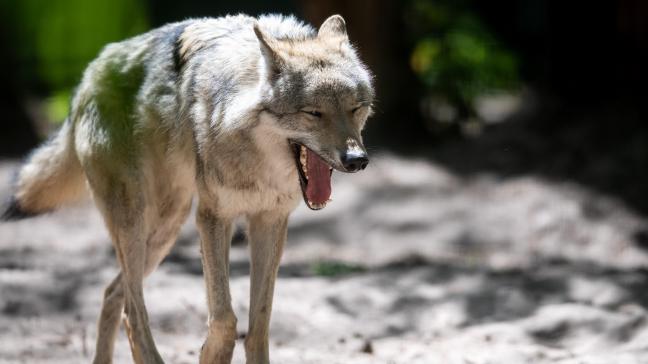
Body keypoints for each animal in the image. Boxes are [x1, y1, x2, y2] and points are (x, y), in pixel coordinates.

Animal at [1, 12, 374, 364]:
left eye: (356, 108)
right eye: (314, 113)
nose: (357, 159)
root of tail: (87, 75)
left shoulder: (268, 221)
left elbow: (259, 324)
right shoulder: (213, 217)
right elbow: (224, 319)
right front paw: (210, 354)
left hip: (167, 227)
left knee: (112, 293)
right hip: (137, 223)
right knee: (132, 310)